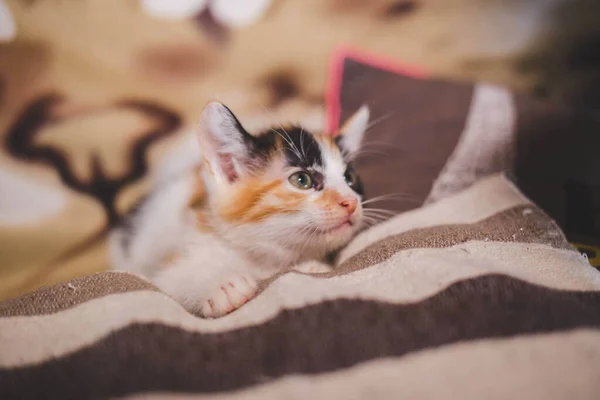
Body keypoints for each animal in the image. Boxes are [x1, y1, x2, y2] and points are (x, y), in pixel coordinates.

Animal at [109, 101, 368, 318]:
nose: (350, 202)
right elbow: (168, 280)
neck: (258, 259)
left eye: (350, 178)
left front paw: (309, 265)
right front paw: (220, 287)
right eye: (302, 180)